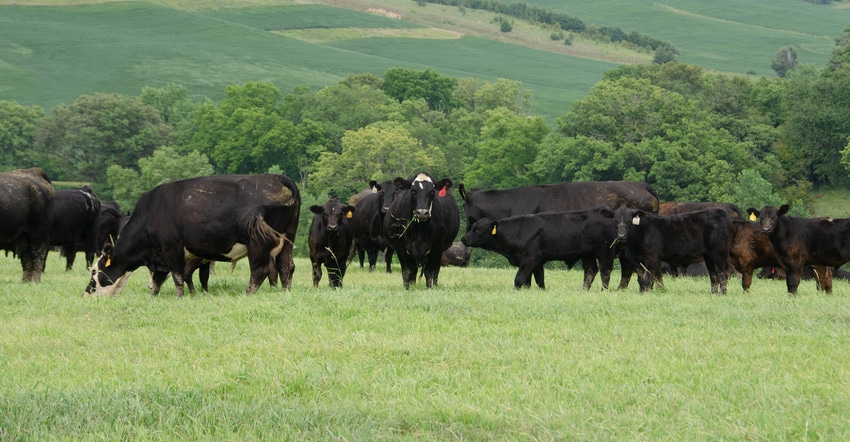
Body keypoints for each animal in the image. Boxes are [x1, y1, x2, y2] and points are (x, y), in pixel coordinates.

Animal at [84, 174, 300, 296]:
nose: (86, 293)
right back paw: (285, 293)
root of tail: (278, 178)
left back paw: (247, 294)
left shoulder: (171, 247)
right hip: (287, 239)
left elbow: (178, 275)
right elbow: (159, 279)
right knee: (286, 267)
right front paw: (154, 295)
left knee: (260, 271)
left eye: (94, 272)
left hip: (258, 243)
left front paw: (179, 296)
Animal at [460, 207, 612, 290]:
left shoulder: (530, 259)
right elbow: (537, 281)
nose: (463, 239)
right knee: (591, 271)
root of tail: (599, 211)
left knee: (605, 271)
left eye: (478, 230)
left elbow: (519, 279)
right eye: (473, 227)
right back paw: (583, 290)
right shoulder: (536, 262)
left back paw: (603, 290)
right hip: (588, 254)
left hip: (604, 251)